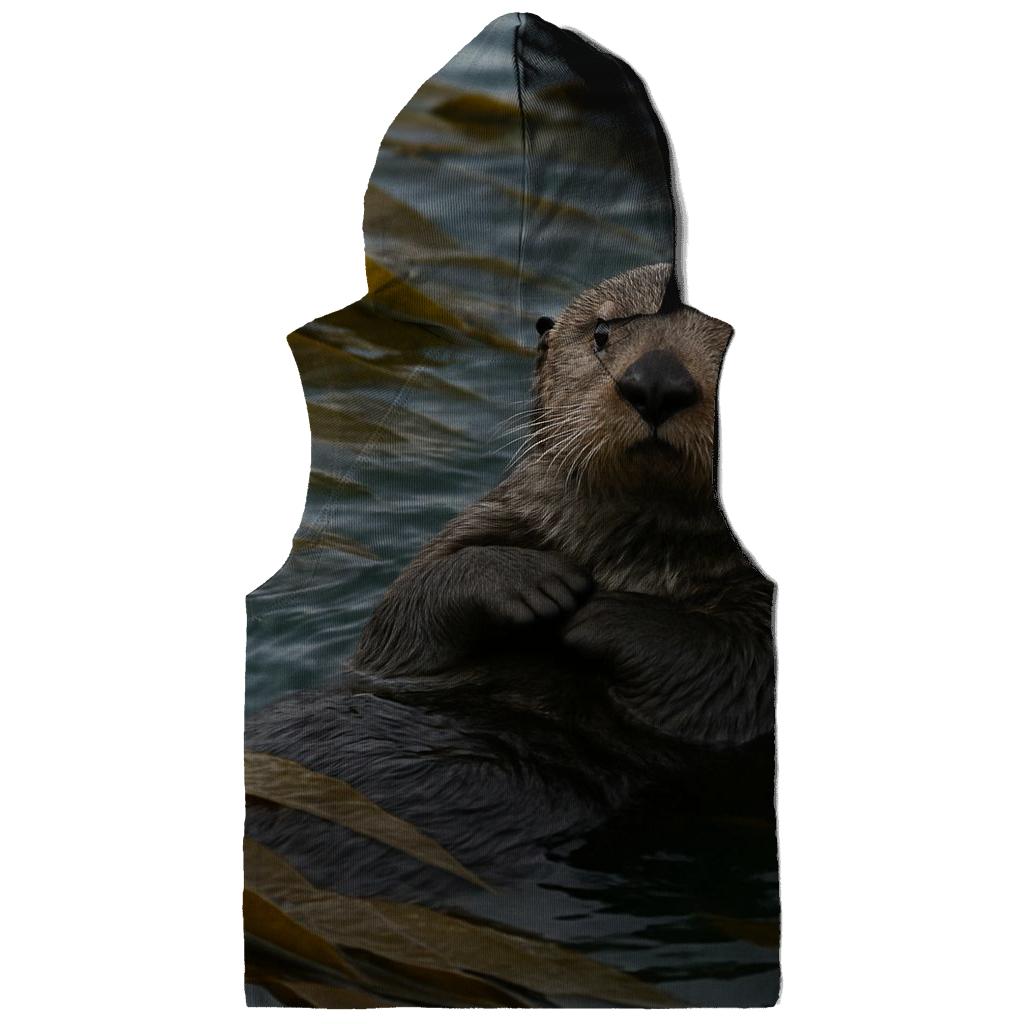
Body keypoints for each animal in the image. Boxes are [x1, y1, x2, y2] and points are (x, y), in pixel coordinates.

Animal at [246, 263, 775, 894]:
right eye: (601, 334)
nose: (656, 383)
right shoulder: (485, 528)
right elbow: (404, 618)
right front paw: (538, 584)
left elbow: (734, 671)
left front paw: (596, 616)